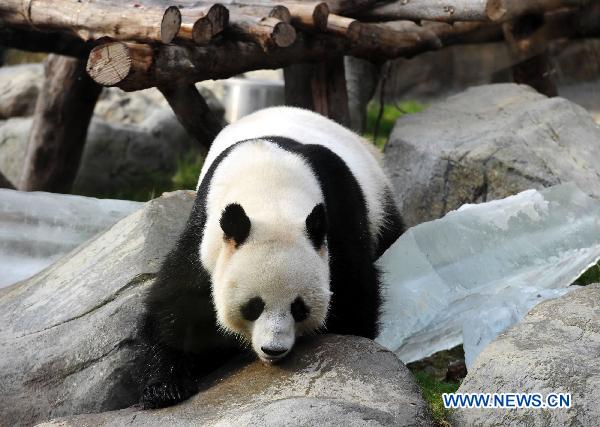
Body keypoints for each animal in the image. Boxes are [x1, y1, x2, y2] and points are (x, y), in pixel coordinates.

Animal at [140, 106, 404, 408]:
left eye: (299, 307)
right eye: (253, 306)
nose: (273, 349)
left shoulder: (338, 213)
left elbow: (355, 288)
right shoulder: (206, 235)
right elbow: (175, 302)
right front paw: (165, 387)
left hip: (381, 202)